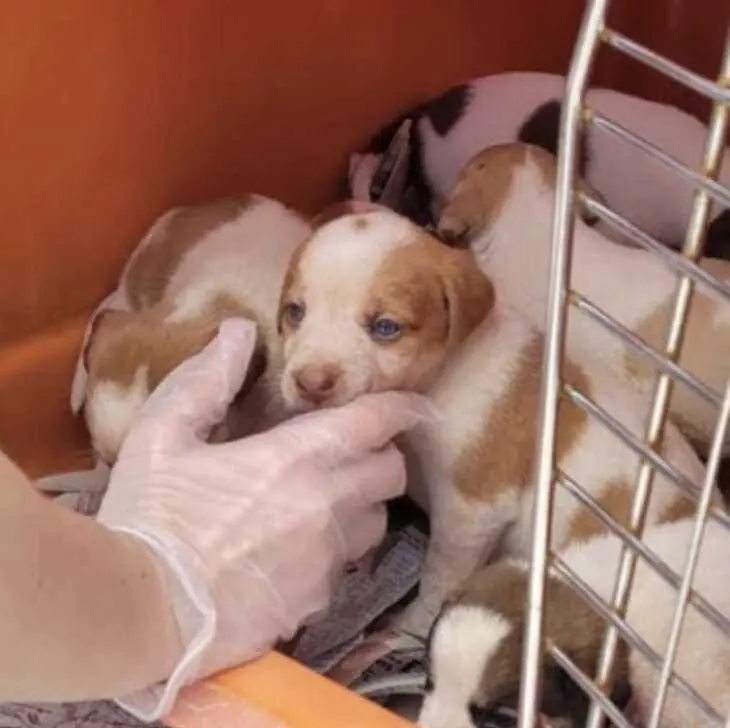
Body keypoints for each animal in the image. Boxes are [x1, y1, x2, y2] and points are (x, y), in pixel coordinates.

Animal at [274, 206, 712, 636]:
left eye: (385, 327)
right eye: (295, 312)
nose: (310, 384)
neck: (439, 378)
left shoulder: (471, 512)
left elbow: (441, 576)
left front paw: (413, 625)